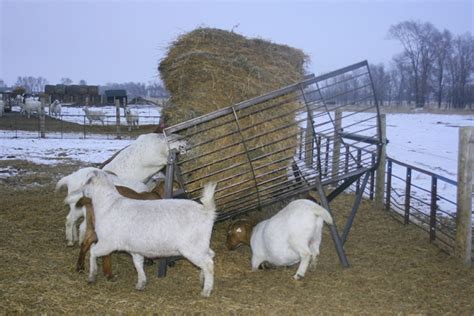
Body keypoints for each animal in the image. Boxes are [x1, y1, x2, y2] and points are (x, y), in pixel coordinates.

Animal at [73, 170, 217, 296]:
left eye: (87, 181)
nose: (82, 192)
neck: (108, 204)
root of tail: (206, 211)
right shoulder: (134, 248)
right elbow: (138, 264)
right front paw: (141, 283)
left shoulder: (108, 243)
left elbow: (93, 252)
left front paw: (92, 275)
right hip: (200, 244)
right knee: (211, 255)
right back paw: (202, 279)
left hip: (192, 247)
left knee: (208, 264)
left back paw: (206, 291)